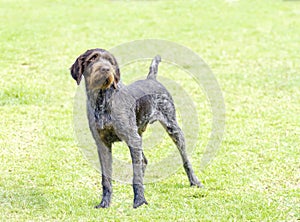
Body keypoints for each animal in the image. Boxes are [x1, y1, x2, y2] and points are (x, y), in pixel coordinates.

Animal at [69, 48, 202, 208]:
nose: (106, 69)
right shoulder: (103, 144)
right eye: (92, 59)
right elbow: (106, 179)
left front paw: (139, 201)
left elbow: (136, 177)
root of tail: (152, 79)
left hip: (173, 129)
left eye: (110, 61)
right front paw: (105, 202)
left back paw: (194, 181)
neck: (103, 99)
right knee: (143, 161)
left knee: (185, 159)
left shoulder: (132, 139)